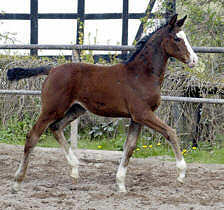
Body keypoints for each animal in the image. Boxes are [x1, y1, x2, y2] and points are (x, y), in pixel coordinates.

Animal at [7, 13, 198, 193]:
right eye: (177, 38)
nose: (194, 60)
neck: (141, 75)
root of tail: (52, 69)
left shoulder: (136, 118)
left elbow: (129, 147)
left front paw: (120, 184)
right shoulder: (142, 113)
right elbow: (170, 132)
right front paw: (181, 174)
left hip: (76, 109)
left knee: (56, 128)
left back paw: (74, 170)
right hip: (51, 109)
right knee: (32, 136)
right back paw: (17, 182)